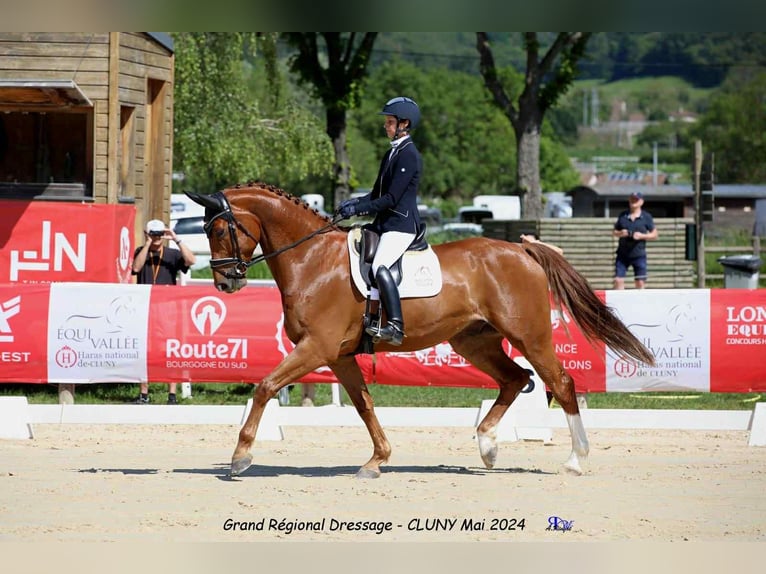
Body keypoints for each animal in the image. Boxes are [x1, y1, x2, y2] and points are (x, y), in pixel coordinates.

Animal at [185, 182, 655, 478]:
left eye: (219, 228)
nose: (225, 283)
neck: (311, 259)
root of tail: (523, 249)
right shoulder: (338, 355)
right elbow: (364, 405)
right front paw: (377, 461)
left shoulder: (317, 347)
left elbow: (264, 386)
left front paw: (240, 456)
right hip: (473, 340)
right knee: (515, 379)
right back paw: (487, 446)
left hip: (530, 336)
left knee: (560, 382)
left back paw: (575, 460)